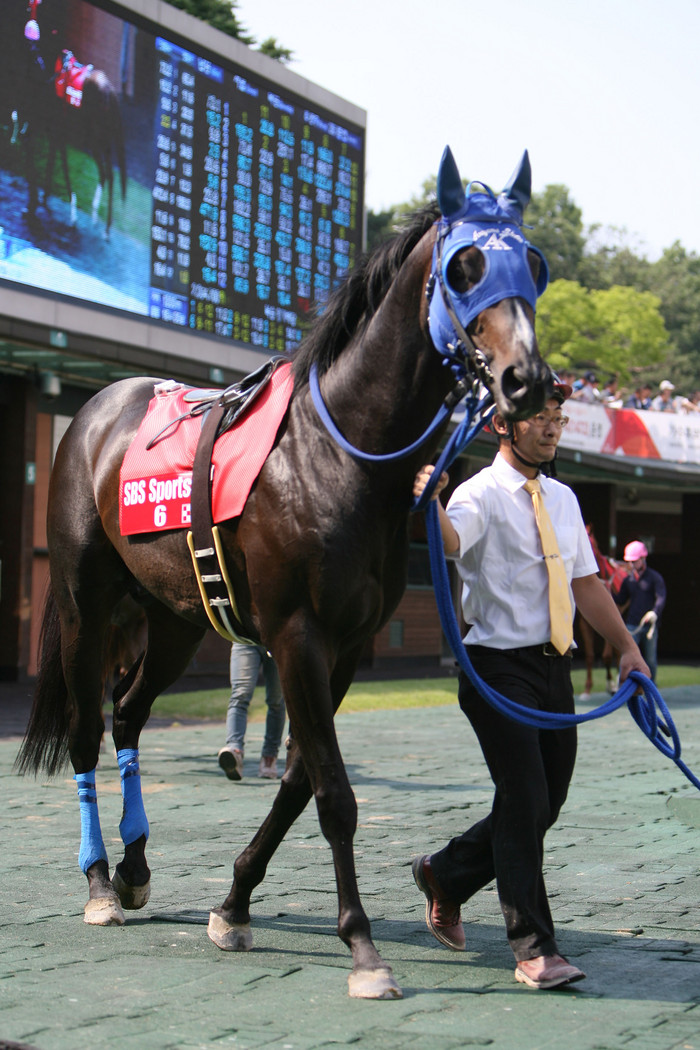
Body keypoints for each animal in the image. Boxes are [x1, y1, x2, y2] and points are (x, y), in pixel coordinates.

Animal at [17, 148, 553, 1000]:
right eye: (465, 267)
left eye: (533, 266)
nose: (526, 381)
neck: (337, 455)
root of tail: (98, 408)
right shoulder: (298, 635)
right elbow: (332, 791)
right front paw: (362, 946)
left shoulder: (348, 647)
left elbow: (301, 779)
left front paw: (234, 903)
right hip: (84, 603)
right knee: (84, 729)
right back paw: (100, 882)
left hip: (174, 616)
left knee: (129, 715)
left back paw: (134, 867)